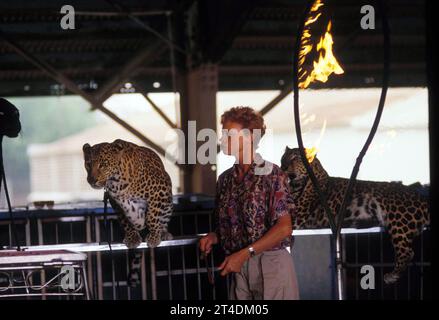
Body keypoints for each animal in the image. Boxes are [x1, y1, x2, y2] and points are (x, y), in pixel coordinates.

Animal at [82, 139, 174, 286]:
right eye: (88, 164)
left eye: (103, 164)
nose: (92, 180)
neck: (116, 183)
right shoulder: (116, 203)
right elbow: (126, 221)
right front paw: (132, 237)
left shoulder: (160, 189)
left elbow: (152, 216)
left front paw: (154, 236)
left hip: (168, 202)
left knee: (163, 218)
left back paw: (163, 233)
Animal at [282, 146, 430, 284]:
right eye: (283, 158)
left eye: (295, 158)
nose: (283, 167)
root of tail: (423, 197)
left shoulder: (295, 216)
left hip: (396, 217)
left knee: (407, 252)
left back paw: (392, 275)